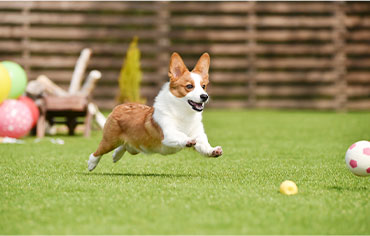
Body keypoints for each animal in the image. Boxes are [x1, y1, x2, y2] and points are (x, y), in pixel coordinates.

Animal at [87, 52, 223, 171]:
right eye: (189, 86)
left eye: (204, 86)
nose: (205, 96)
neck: (184, 114)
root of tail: (120, 106)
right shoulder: (168, 134)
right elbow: (181, 135)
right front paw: (188, 140)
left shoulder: (199, 135)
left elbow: (203, 145)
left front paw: (213, 151)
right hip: (110, 141)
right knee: (98, 151)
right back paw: (91, 164)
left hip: (135, 147)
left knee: (124, 146)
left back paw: (116, 156)